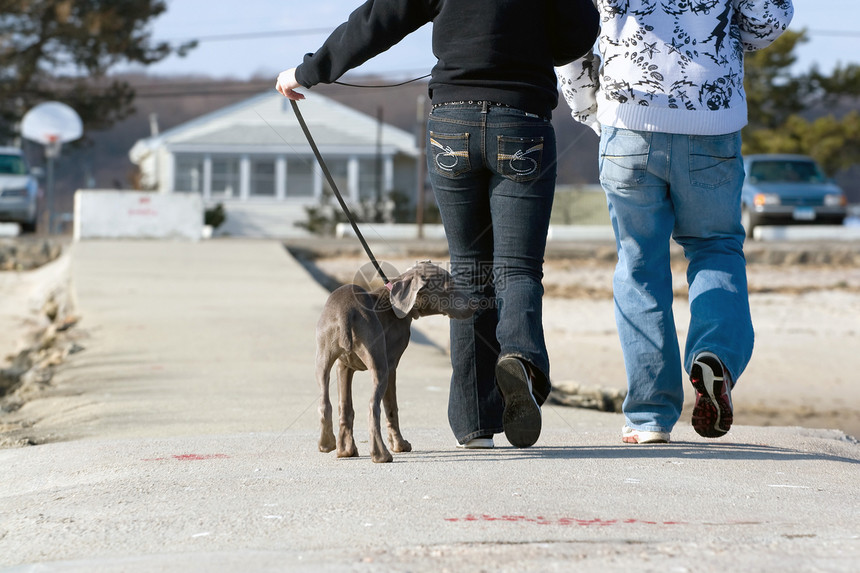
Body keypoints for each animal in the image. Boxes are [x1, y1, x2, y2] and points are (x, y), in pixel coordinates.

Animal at [316, 262, 478, 462]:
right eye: (449, 288)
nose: (475, 303)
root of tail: (346, 312)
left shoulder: (344, 367)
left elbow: (345, 407)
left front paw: (345, 450)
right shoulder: (391, 366)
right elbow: (391, 408)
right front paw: (400, 445)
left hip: (322, 358)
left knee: (325, 403)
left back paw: (328, 445)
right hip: (379, 364)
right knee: (373, 407)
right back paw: (381, 455)